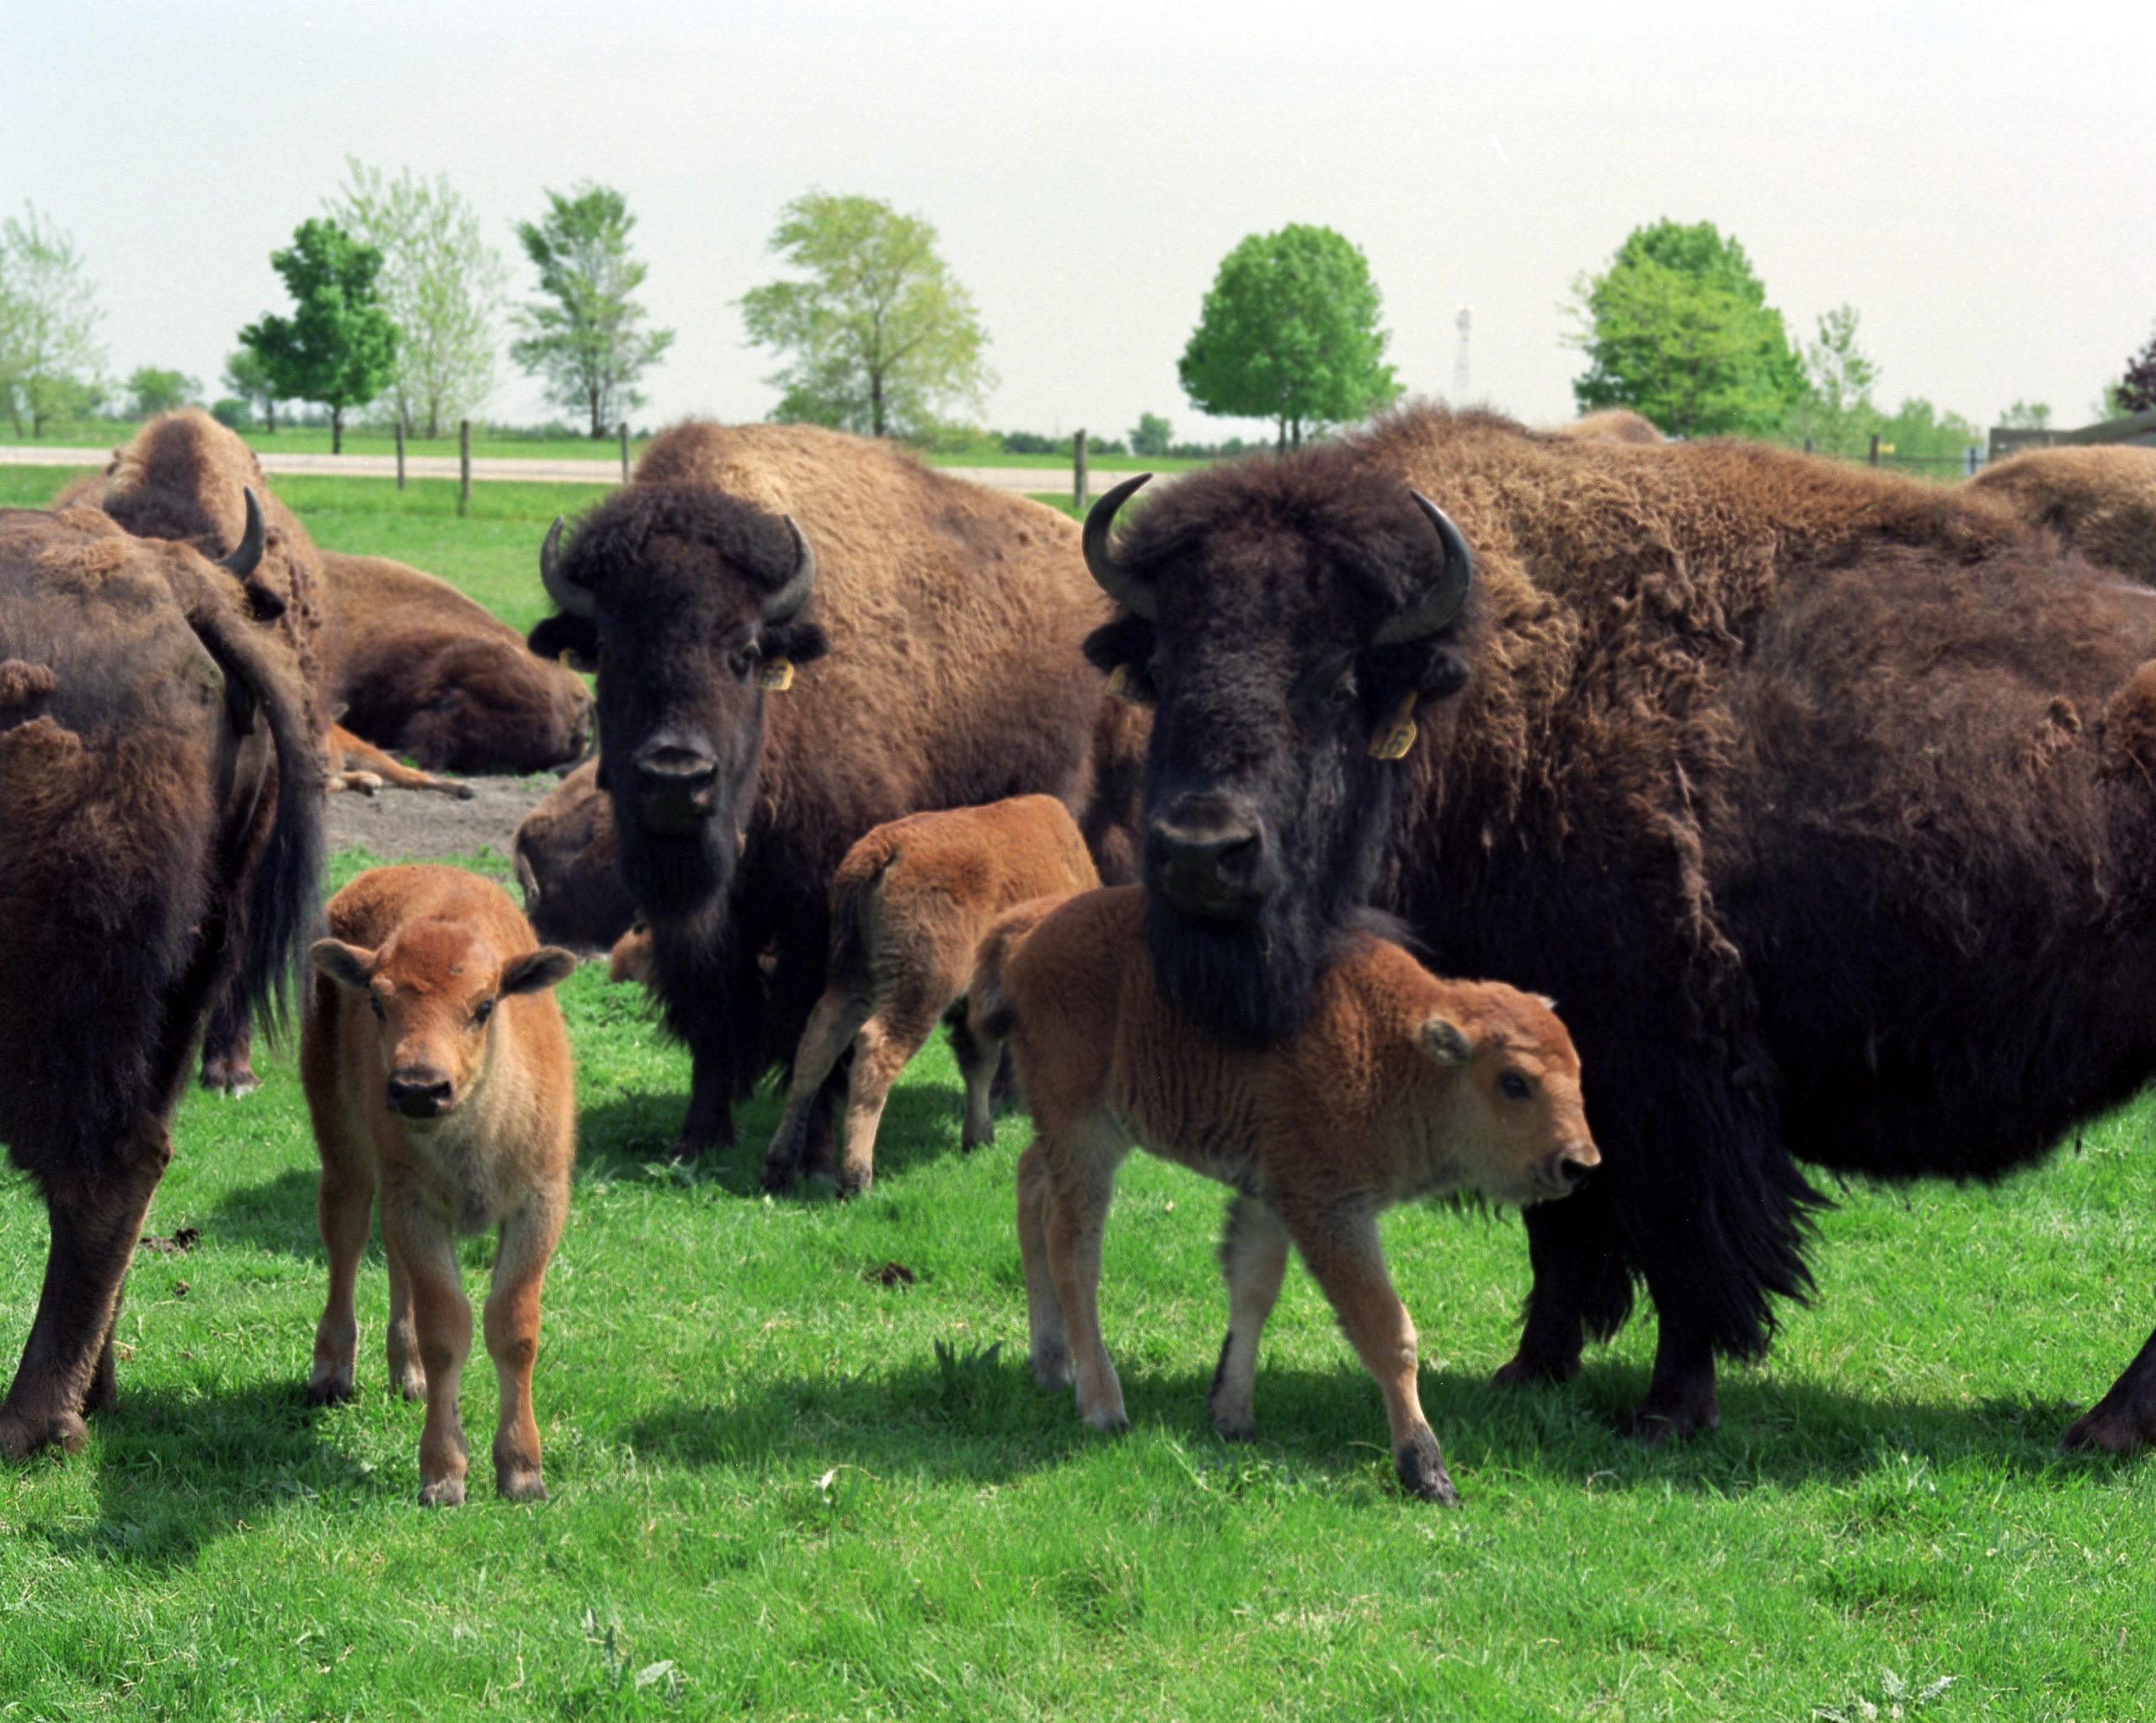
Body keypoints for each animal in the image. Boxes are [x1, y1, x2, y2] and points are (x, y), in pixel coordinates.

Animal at [0, 504, 322, 1457]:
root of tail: (184, 591)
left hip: (56, 1010)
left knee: (106, 1168)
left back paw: (32, 1421)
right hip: (183, 982)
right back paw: (91, 1395)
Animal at [528, 420, 1117, 1159]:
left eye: (745, 651)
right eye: (607, 648)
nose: (674, 778)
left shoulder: (823, 903)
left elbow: (815, 1025)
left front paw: (812, 1150)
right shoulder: (697, 915)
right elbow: (713, 1009)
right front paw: (700, 1136)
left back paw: (1007, 1096)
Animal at [1080, 404, 2156, 1451]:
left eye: (1340, 680)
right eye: (1163, 668)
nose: (1201, 851)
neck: (1490, 697)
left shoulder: (1668, 1075)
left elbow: (1680, 1241)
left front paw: (1667, 1411)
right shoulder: (1541, 1057)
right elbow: (1562, 1221)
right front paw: (1530, 1374)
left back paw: (2101, 1432)